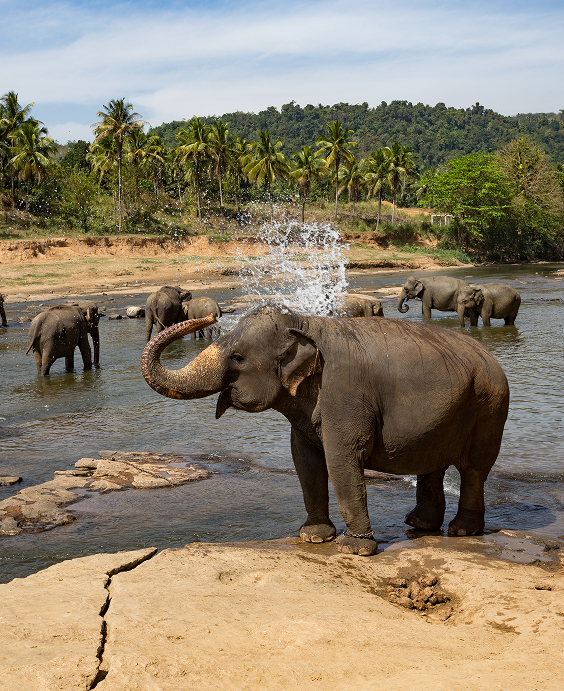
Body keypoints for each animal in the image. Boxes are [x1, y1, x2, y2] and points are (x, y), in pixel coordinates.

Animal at [141, 304, 509, 556]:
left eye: (238, 357)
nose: (208, 317)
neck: (304, 323)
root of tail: (492, 357)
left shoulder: (345, 395)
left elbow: (341, 460)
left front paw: (353, 549)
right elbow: (305, 462)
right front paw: (314, 537)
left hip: (490, 407)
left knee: (474, 469)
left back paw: (462, 532)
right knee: (432, 465)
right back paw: (419, 524)